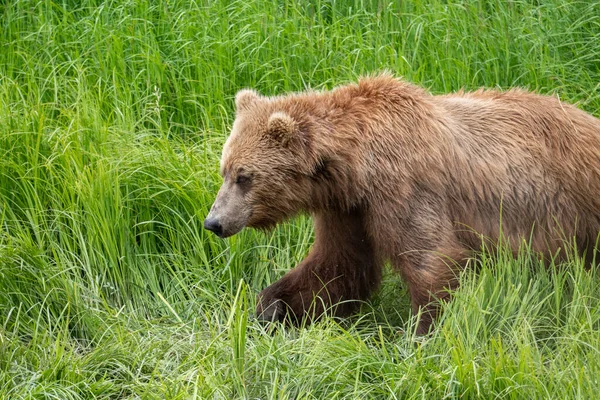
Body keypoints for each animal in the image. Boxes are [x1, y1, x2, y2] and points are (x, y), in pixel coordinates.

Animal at [204, 74, 600, 334]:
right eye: (224, 170)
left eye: (244, 177)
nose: (214, 222)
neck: (355, 166)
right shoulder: (347, 210)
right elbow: (338, 266)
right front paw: (268, 308)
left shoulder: (403, 188)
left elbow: (432, 259)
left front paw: (422, 333)